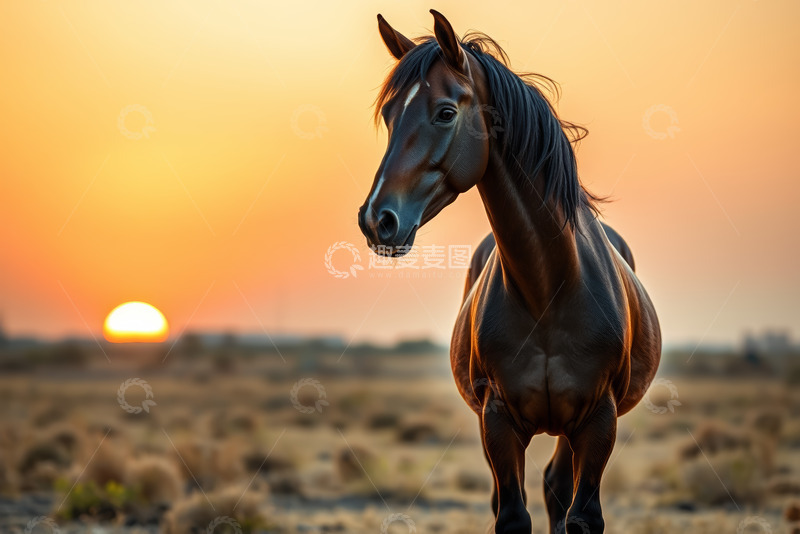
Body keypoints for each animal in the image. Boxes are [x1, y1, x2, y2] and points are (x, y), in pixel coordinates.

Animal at [357, 11, 661, 533]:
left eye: (445, 112)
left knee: (557, 488)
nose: (378, 219)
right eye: (391, 115)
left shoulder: (599, 421)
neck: (549, 287)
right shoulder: (496, 421)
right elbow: (512, 515)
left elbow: (582, 516)